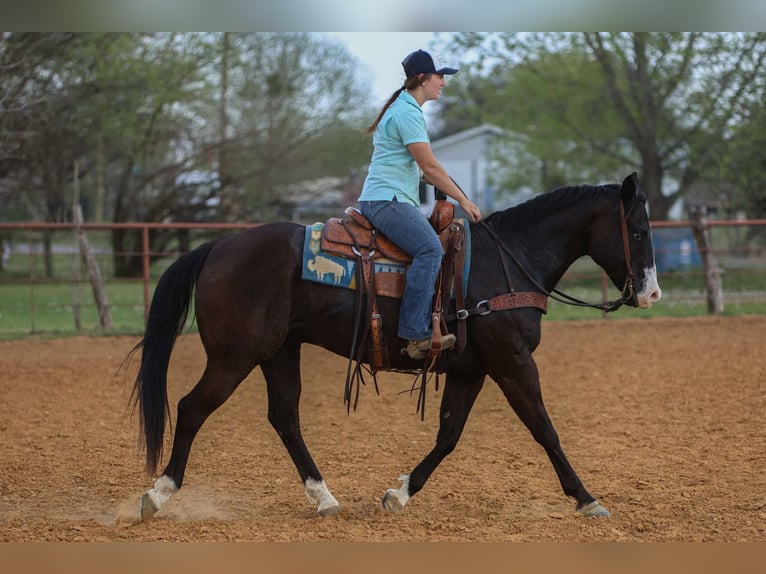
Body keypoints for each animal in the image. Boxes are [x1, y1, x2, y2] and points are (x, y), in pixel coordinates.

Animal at [130, 172, 661, 520]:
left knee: (284, 419)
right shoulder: (512, 362)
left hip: (279, 352)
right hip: (234, 357)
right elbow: (545, 429)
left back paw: (325, 498)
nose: (652, 293)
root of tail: (217, 247)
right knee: (192, 407)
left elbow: (449, 435)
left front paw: (400, 492)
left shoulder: (470, 369)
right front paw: (587, 498)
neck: (505, 262)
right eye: (638, 230)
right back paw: (157, 494)